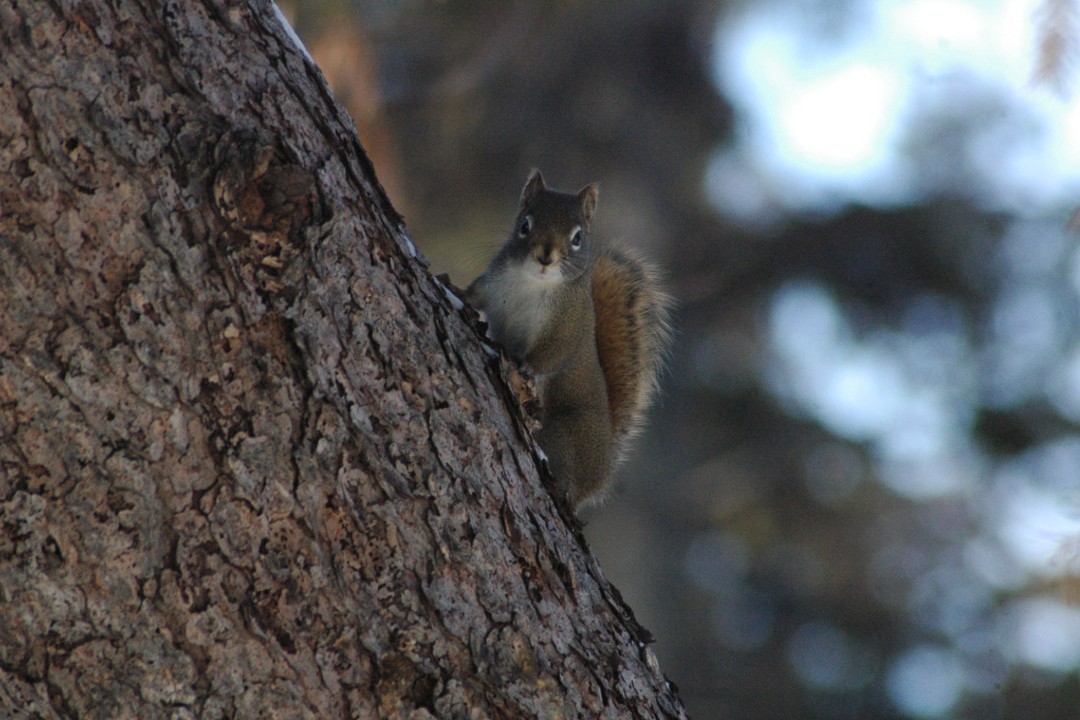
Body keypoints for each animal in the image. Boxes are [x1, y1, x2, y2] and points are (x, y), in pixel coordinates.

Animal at [466, 170, 672, 508]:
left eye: (577, 239)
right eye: (525, 224)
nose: (545, 257)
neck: (533, 282)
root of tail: (598, 477)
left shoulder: (569, 325)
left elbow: (554, 353)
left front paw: (525, 365)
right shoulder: (492, 286)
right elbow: (474, 295)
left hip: (564, 437)